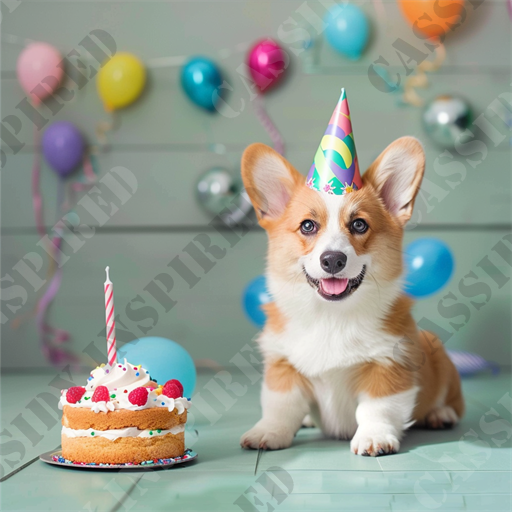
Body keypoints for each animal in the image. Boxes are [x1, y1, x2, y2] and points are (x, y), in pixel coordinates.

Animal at [240, 137, 464, 456]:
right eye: (308, 225)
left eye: (359, 224)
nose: (333, 260)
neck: (331, 317)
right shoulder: (283, 366)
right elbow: (280, 406)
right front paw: (269, 432)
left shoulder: (389, 366)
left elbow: (376, 409)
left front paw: (374, 437)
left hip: (443, 365)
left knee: (454, 404)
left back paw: (440, 414)